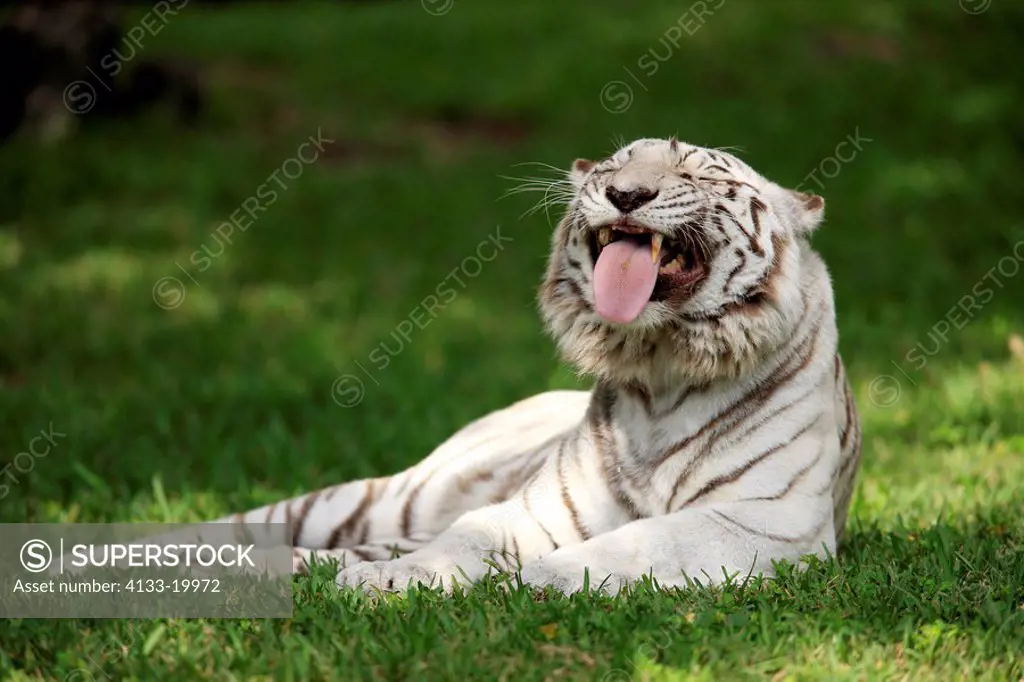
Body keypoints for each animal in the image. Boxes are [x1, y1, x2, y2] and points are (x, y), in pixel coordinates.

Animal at [207, 135, 856, 593]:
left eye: (694, 173)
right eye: (611, 168)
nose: (625, 195)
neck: (658, 368)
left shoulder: (763, 519)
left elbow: (640, 540)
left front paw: (537, 580)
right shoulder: (540, 507)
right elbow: (468, 536)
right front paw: (392, 582)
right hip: (396, 495)